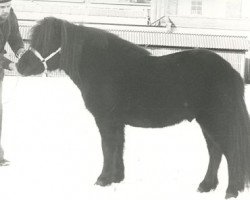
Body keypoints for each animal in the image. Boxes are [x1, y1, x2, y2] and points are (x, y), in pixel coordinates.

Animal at [16, 17, 249, 198]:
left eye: (47, 42)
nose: (20, 65)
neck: (103, 66)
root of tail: (231, 72)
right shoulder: (117, 122)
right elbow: (118, 147)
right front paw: (116, 178)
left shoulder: (106, 120)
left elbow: (108, 147)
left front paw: (102, 179)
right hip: (207, 122)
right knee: (215, 152)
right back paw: (206, 186)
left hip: (217, 120)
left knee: (230, 152)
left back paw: (231, 191)